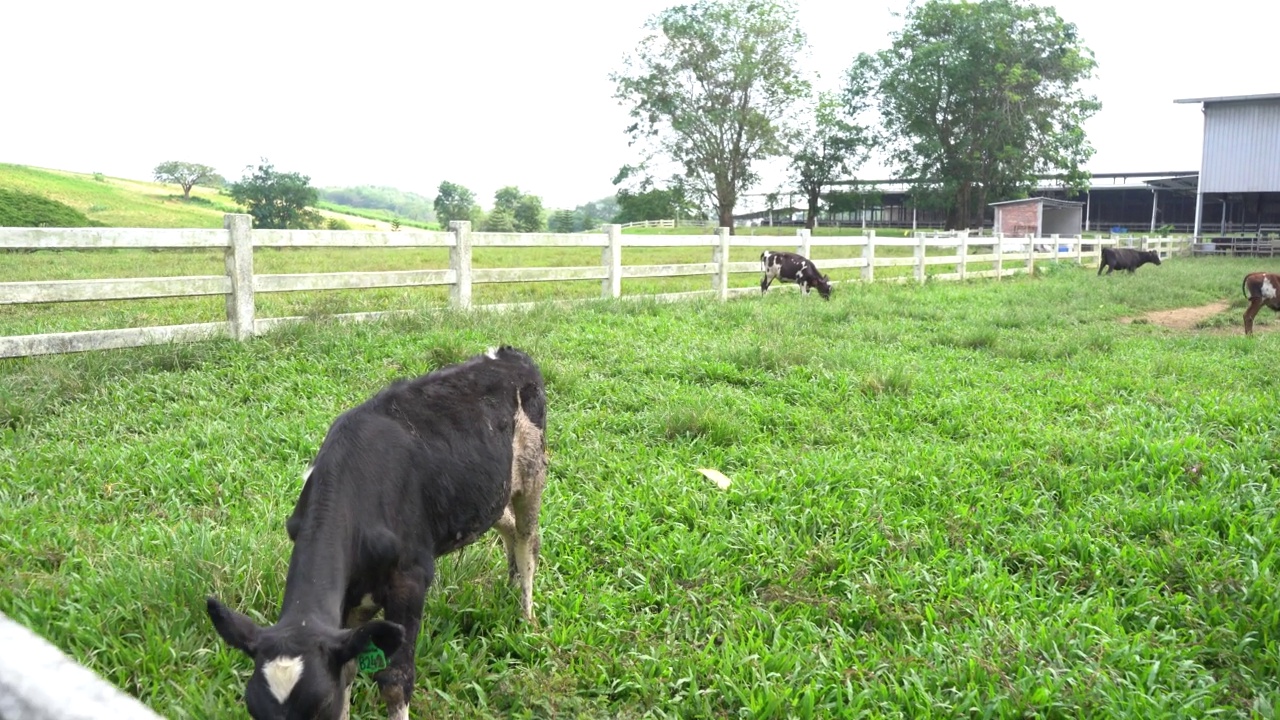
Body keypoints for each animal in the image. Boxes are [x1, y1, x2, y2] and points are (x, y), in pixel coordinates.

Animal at [207, 343, 547, 717]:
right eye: (253, 708)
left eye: (319, 706)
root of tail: (509, 353)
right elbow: (349, 670)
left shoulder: (411, 578)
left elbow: (395, 681)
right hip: (491, 494)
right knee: (509, 528)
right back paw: (510, 586)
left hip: (532, 474)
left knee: (528, 543)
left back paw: (526, 617)